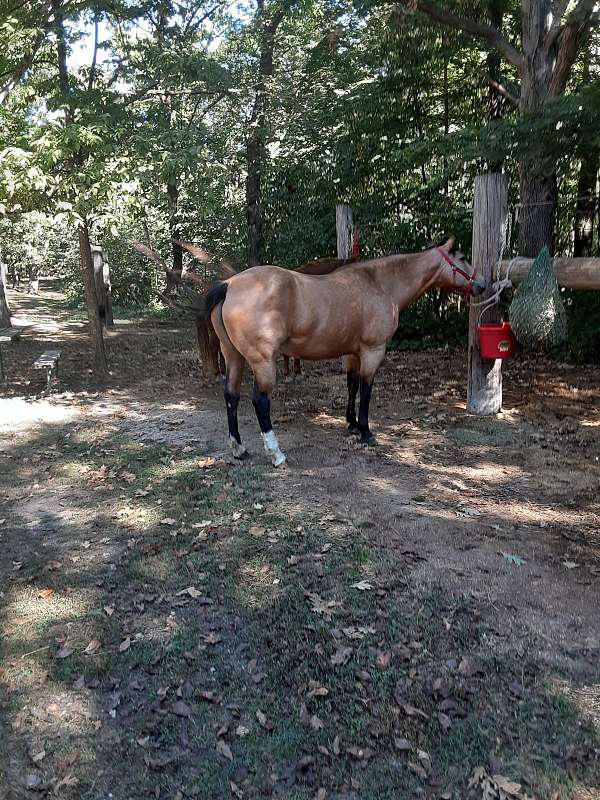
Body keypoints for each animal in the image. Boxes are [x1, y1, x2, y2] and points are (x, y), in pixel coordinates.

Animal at [193, 238, 484, 467]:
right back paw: (276, 454)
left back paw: (239, 449)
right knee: (260, 401)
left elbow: (351, 385)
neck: (381, 284)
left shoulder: (352, 353)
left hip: (233, 356)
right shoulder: (372, 351)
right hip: (262, 361)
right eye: (463, 258)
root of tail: (230, 284)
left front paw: (351, 423)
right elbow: (366, 390)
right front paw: (366, 432)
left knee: (231, 396)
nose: (482, 284)